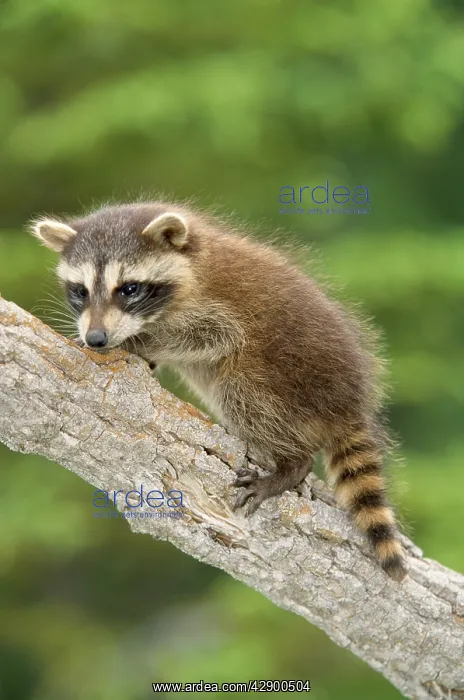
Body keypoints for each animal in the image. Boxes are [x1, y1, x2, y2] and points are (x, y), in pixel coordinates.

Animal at [31, 201, 407, 580]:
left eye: (129, 288)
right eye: (80, 291)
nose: (96, 338)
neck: (191, 263)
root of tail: (350, 403)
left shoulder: (218, 307)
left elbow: (215, 337)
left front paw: (141, 342)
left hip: (286, 373)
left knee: (241, 391)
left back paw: (290, 465)